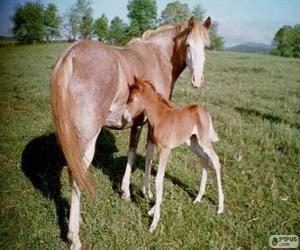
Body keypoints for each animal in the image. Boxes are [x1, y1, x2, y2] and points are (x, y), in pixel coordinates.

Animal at [51, 16, 211, 249]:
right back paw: (75, 236)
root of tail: (70, 55)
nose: (197, 80)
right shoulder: (150, 125)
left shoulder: (137, 123)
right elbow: (145, 155)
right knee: (77, 175)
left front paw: (127, 191)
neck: (158, 56)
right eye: (188, 45)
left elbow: (133, 151)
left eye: (206, 46)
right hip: (87, 139)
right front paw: (144, 192)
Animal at [123, 78, 224, 232]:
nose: (124, 116)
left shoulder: (165, 150)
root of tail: (205, 111)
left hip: (204, 140)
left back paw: (220, 207)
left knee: (215, 160)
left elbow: (159, 180)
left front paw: (154, 223)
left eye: (132, 98)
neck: (159, 117)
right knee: (205, 159)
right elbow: (153, 171)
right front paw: (153, 209)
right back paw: (198, 198)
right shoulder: (156, 147)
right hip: (192, 142)